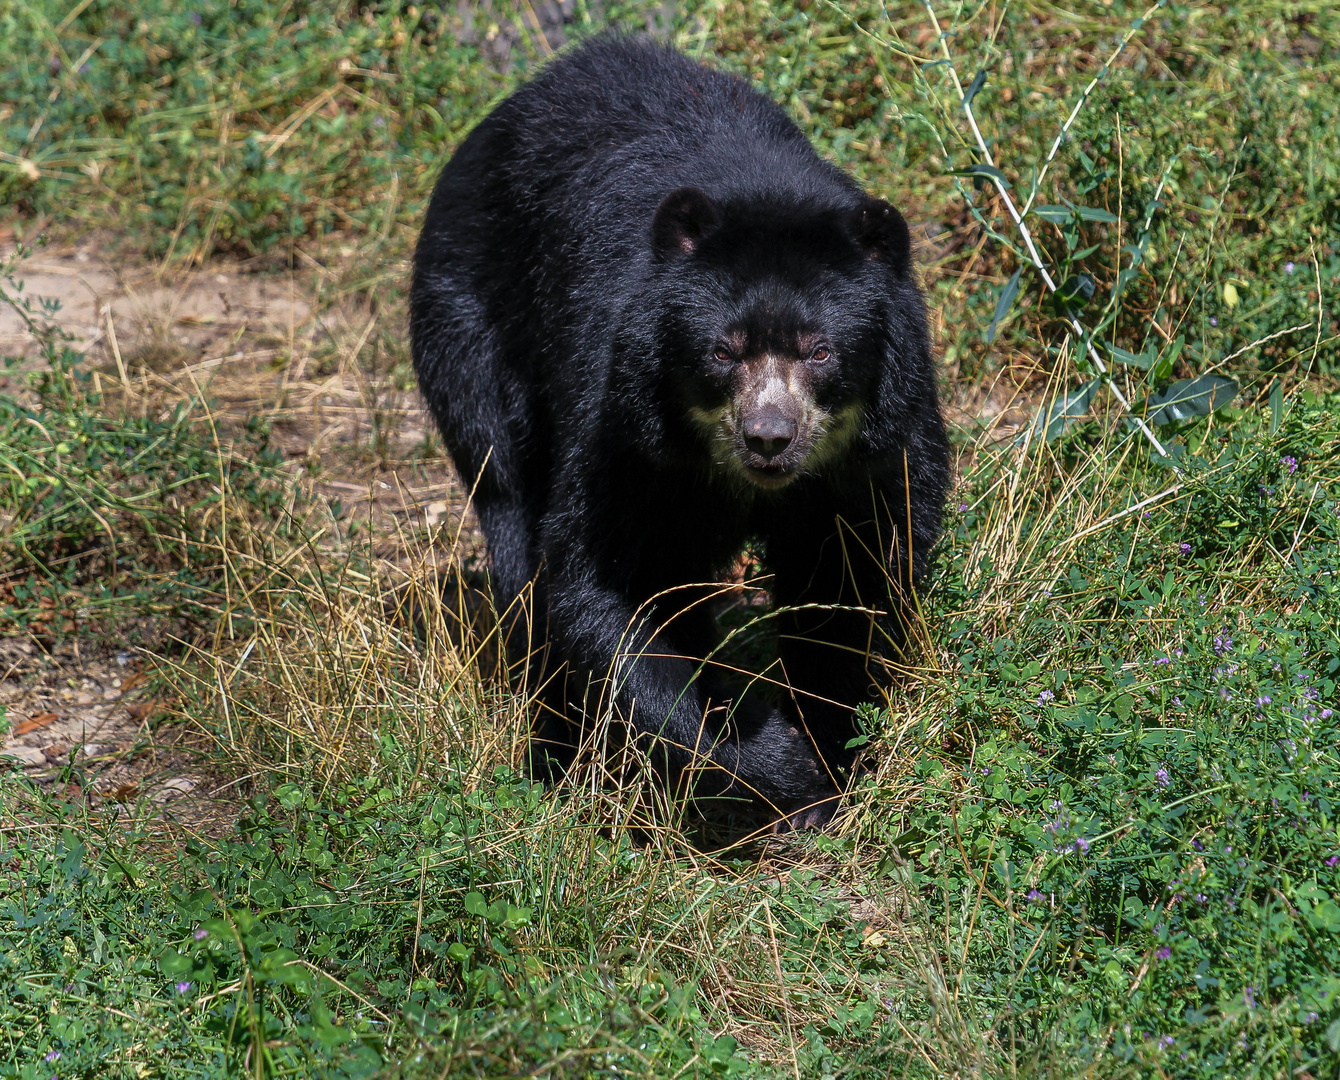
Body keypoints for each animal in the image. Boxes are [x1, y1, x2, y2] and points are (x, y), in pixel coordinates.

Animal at [412, 33, 948, 830]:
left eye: (819, 350)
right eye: (724, 350)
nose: (768, 437)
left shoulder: (872, 451)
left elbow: (851, 582)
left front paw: (832, 762)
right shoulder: (631, 437)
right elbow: (611, 585)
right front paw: (781, 768)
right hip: (470, 326)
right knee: (510, 510)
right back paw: (558, 749)